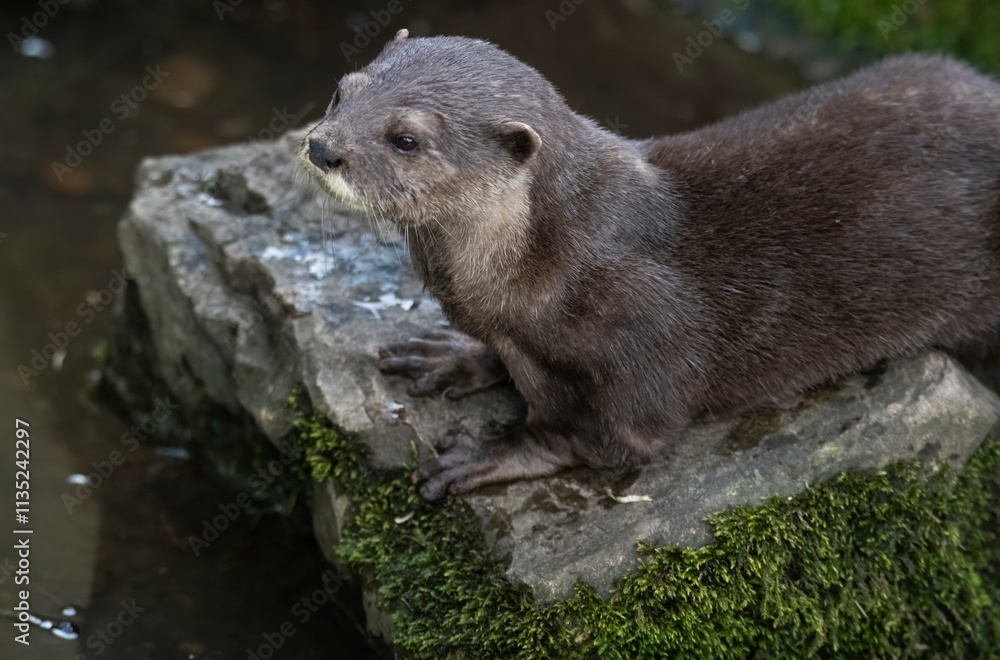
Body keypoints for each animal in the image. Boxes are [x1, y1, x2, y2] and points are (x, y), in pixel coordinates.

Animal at [301, 29, 1000, 501]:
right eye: (341, 91)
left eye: (406, 139)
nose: (321, 146)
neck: (550, 267)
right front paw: (451, 355)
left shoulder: (647, 339)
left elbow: (608, 437)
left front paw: (491, 454)